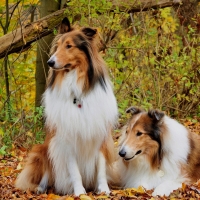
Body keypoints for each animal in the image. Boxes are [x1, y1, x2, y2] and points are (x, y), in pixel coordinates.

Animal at [16, 17, 119, 195]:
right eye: (57, 46)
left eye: (69, 46)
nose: (50, 62)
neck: (77, 92)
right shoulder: (67, 139)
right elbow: (74, 171)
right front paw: (80, 193)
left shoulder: (100, 135)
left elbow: (101, 168)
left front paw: (104, 190)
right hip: (42, 150)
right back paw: (41, 188)